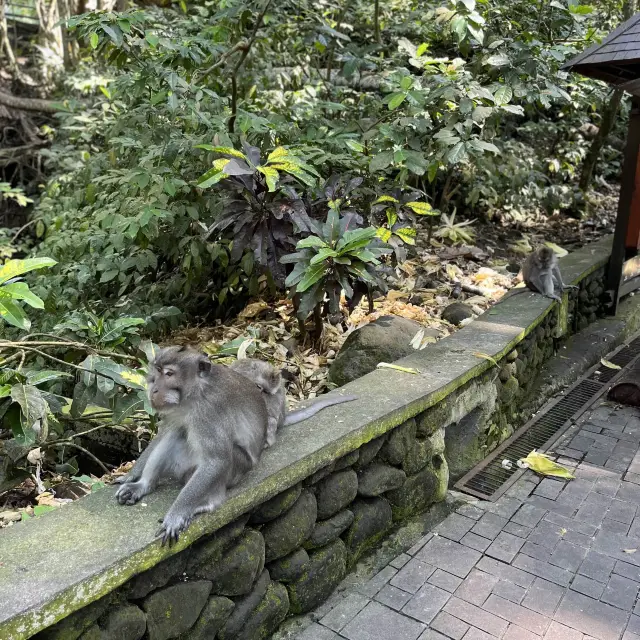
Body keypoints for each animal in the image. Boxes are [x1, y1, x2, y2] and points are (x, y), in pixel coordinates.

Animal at [115, 344, 268, 544]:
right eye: (157, 372)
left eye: (169, 374)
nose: (153, 389)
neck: (195, 393)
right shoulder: (174, 409)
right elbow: (164, 433)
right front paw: (131, 475)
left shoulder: (209, 411)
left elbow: (217, 461)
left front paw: (175, 515)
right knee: (176, 433)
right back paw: (143, 486)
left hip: (237, 470)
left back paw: (207, 504)